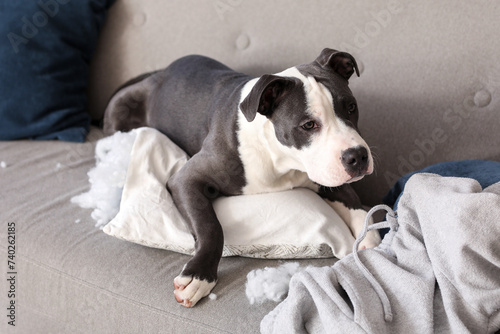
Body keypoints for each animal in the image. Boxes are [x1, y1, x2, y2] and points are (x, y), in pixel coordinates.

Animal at [103, 49, 380, 308]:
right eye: (308, 125)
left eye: (351, 107)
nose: (357, 156)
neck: (280, 161)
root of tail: (160, 72)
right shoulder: (185, 180)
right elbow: (210, 227)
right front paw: (199, 276)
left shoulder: (328, 178)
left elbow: (356, 205)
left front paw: (370, 240)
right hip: (123, 106)